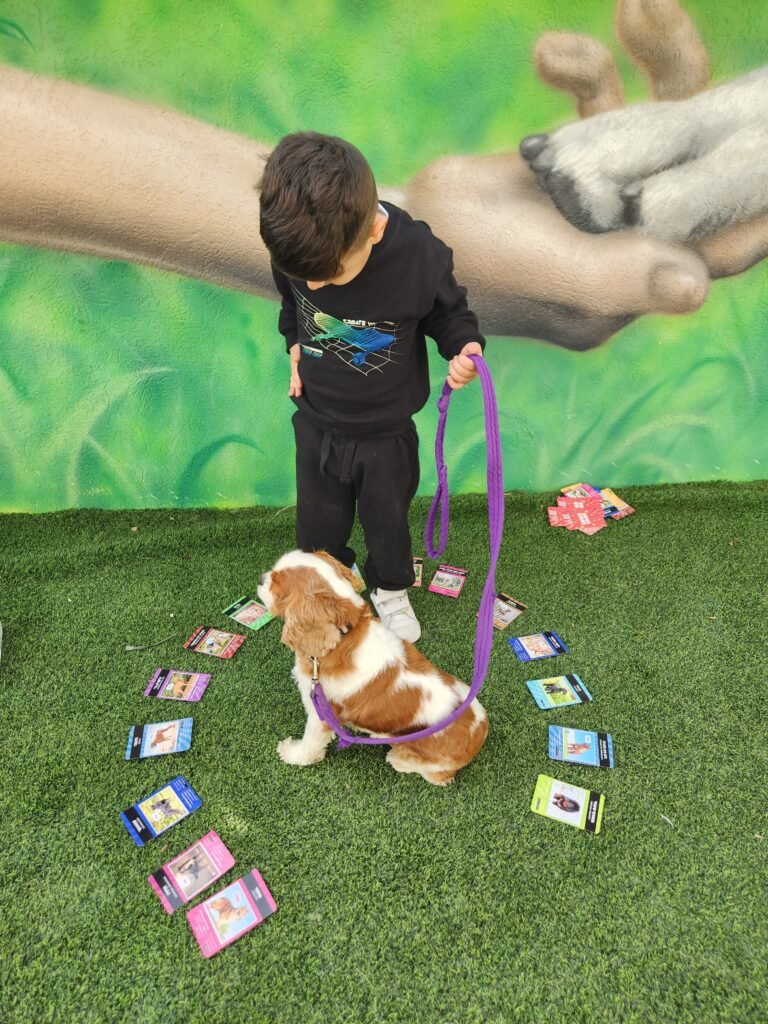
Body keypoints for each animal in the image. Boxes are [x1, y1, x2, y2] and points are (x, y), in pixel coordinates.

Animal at [257, 550, 488, 786]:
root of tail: (480, 735)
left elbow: (310, 744)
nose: (260, 578)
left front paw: (292, 753)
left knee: (437, 775)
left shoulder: (319, 714)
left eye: (276, 583)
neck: (344, 635)